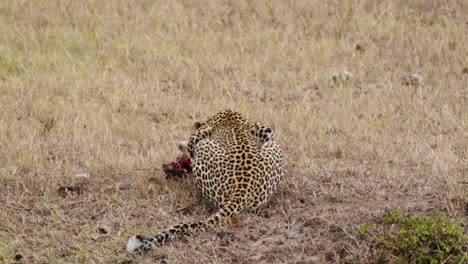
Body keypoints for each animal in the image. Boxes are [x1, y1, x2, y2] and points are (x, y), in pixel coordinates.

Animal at [126, 109, 284, 254]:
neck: (229, 115)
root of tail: (243, 188)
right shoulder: (262, 128)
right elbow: (265, 129)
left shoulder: (201, 133)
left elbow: (191, 145)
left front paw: (182, 148)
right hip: (274, 148)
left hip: (205, 146)